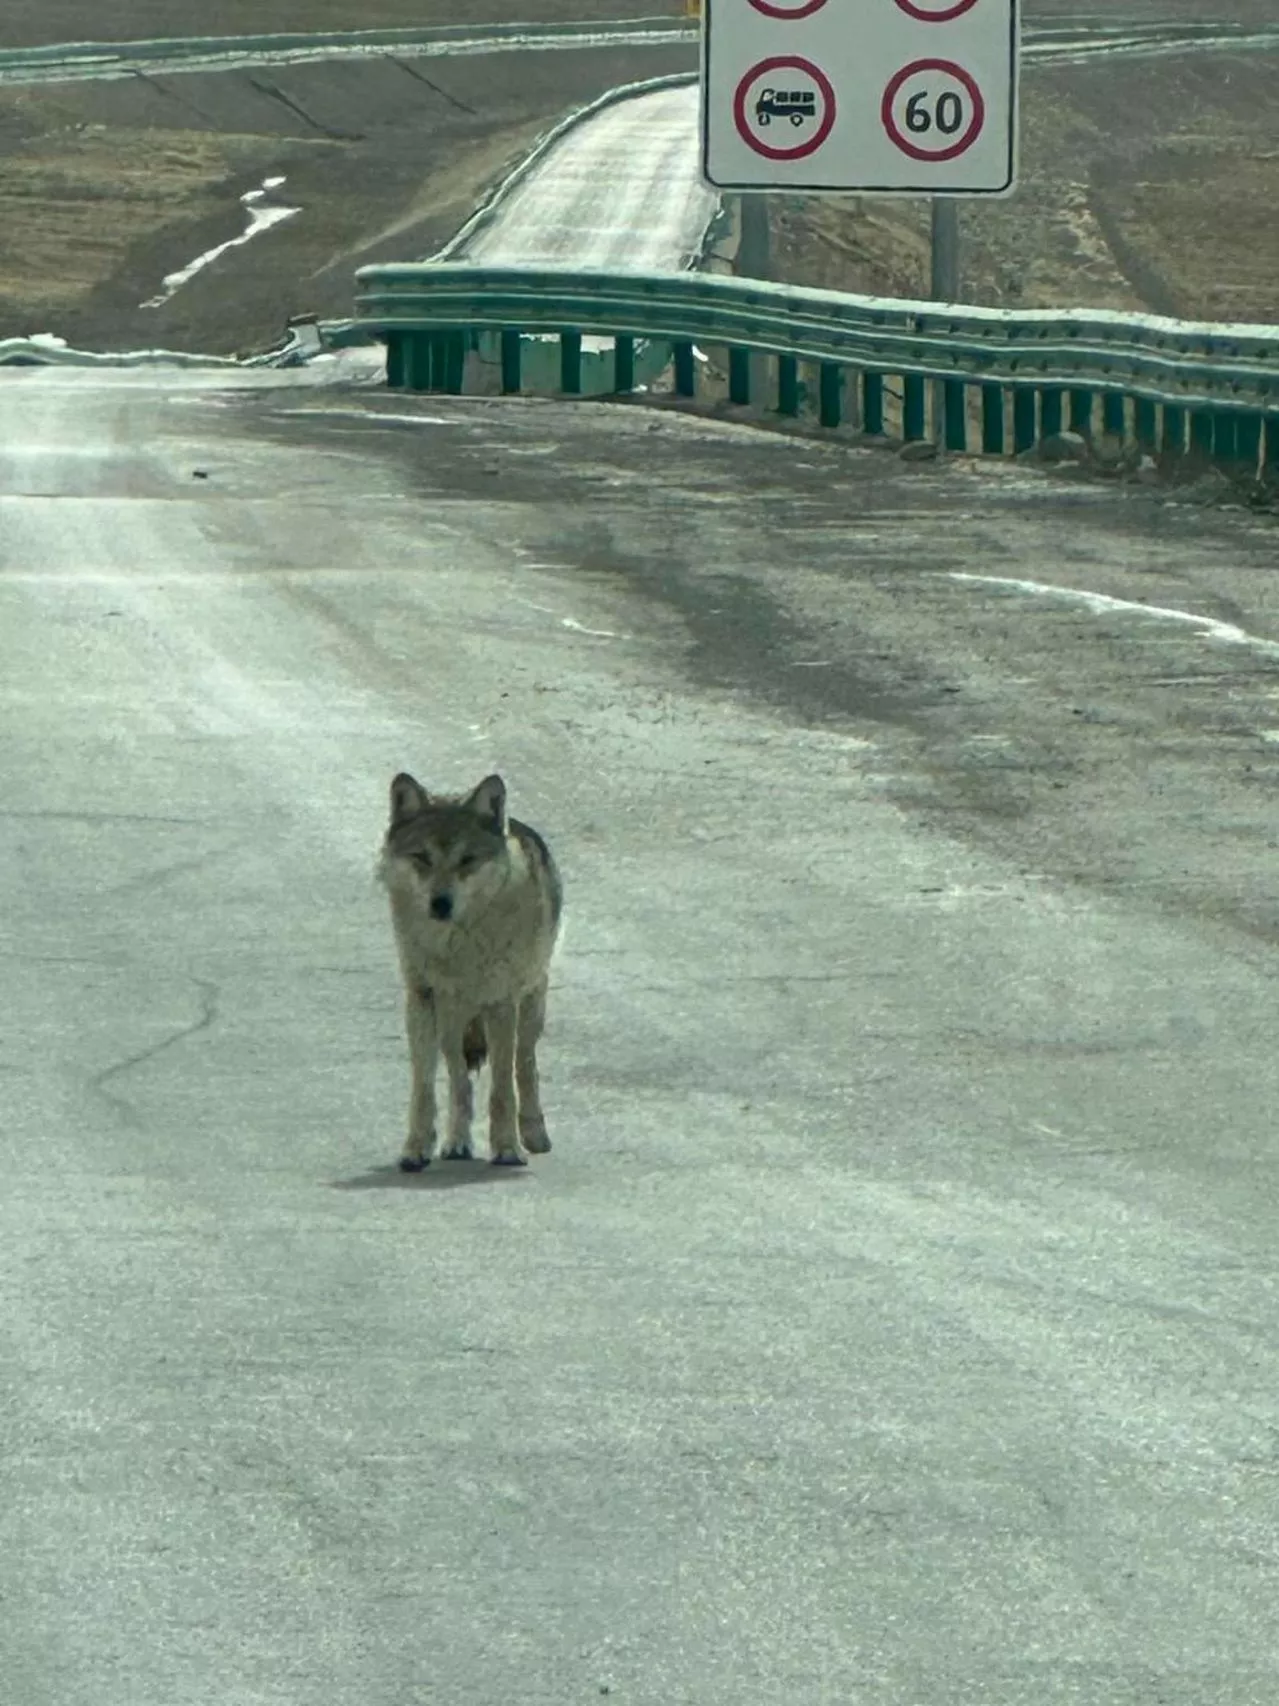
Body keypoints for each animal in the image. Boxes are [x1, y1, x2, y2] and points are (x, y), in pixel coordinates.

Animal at [378, 774, 562, 1173]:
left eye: (467, 860)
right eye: (422, 857)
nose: (440, 903)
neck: (456, 946)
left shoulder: (501, 1002)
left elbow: (502, 1088)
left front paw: (507, 1148)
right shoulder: (421, 998)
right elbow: (424, 1087)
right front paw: (415, 1149)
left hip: (530, 1007)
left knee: (525, 1066)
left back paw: (534, 1135)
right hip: (451, 1023)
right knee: (459, 1079)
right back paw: (456, 1143)